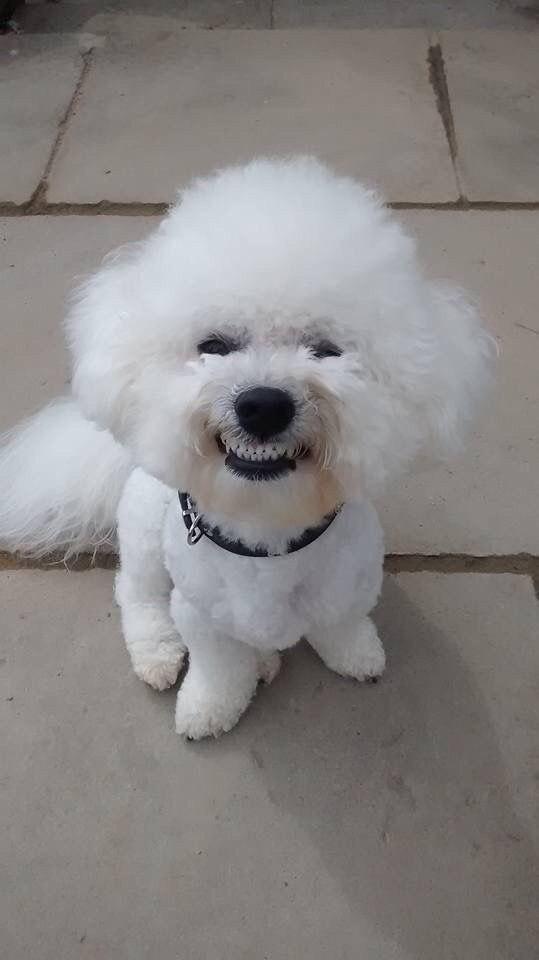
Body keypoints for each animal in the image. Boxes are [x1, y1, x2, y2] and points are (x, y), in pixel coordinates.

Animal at [0, 161, 492, 740]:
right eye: (214, 346)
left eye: (326, 350)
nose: (263, 405)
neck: (267, 530)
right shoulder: (202, 618)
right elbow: (220, 670)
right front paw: (209, 708)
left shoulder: (351, 586)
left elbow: (343, 625)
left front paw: (357, 655)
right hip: (143, 540)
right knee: (137, 593)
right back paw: (160, 654)